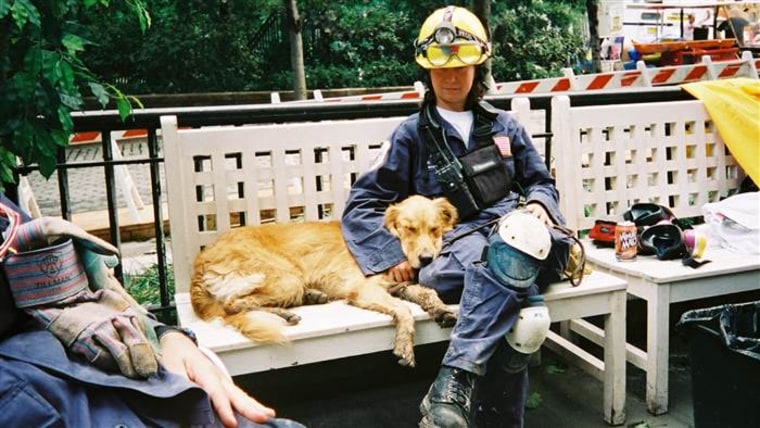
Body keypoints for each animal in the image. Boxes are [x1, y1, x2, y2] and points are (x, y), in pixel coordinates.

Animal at [190, 196, 460, 366]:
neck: (390, 242)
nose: (426, 259)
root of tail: (201, 258)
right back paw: (287, 313)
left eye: (434, 229)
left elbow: (427, 293)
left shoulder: (398, 286)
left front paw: (441, 309)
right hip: (286, 278)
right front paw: (404, 343)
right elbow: (405, 311)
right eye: (409, 229)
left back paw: (310, 297)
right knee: (234, 304)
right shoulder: (364, 290)